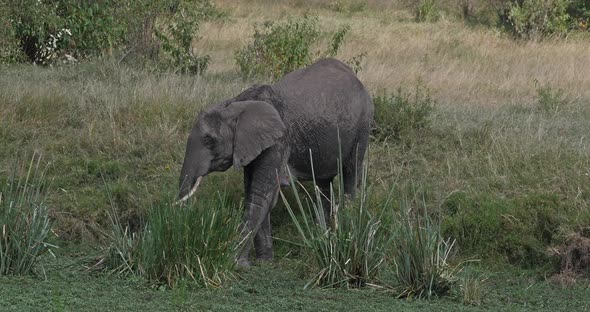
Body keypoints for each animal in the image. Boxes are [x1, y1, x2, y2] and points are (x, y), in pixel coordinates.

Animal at [178, 57, 376, 266]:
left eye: (209, 141)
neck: (237, 103)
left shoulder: (279, 141)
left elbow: (261, 195)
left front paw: (236, 263)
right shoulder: (255, 146)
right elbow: (255, 193)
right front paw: (264, 263)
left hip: (363, 124)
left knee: (351, 173)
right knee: (323, 183)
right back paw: (322, 233)